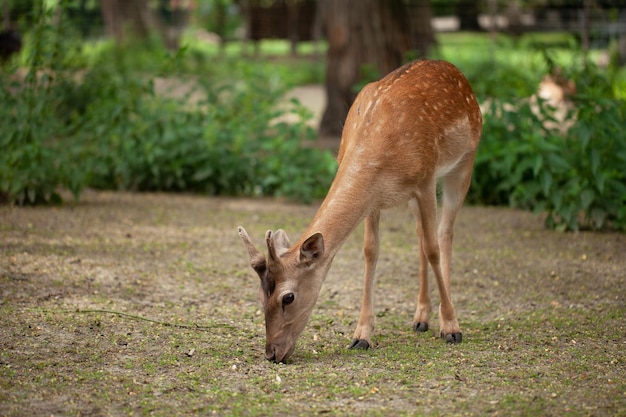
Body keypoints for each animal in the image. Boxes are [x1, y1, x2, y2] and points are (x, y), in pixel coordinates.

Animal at [236, 60, 480, 362]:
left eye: (287, 297)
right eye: (260, 296)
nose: (271, 353)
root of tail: (455, 71)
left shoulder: (424, 180)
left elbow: (433, 248)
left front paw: (452, 327)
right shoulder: (374, 200)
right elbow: (371, 251)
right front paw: (361, 335)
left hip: (463, 163)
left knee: (444, 233)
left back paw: (444, 321)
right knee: (420, 234)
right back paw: (421, 319)